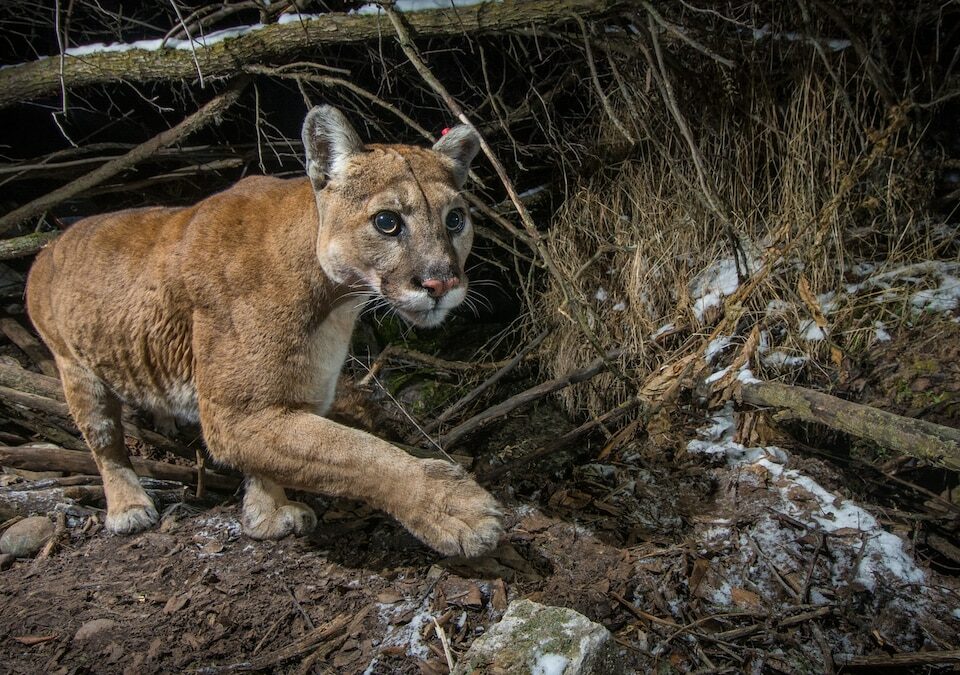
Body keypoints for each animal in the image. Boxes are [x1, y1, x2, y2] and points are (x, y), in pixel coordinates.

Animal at [24, 105, 502, 556]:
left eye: (455, 220)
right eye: (387, 222)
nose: (441, 283)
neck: (334, 300)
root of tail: (51, 242)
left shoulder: (286, 398)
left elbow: (288, 458)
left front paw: (266, 515)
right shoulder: (236, 414)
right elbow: (355, 453)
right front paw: (454, 509)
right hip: (75, 368)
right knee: (105, 444)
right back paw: (128, 506)